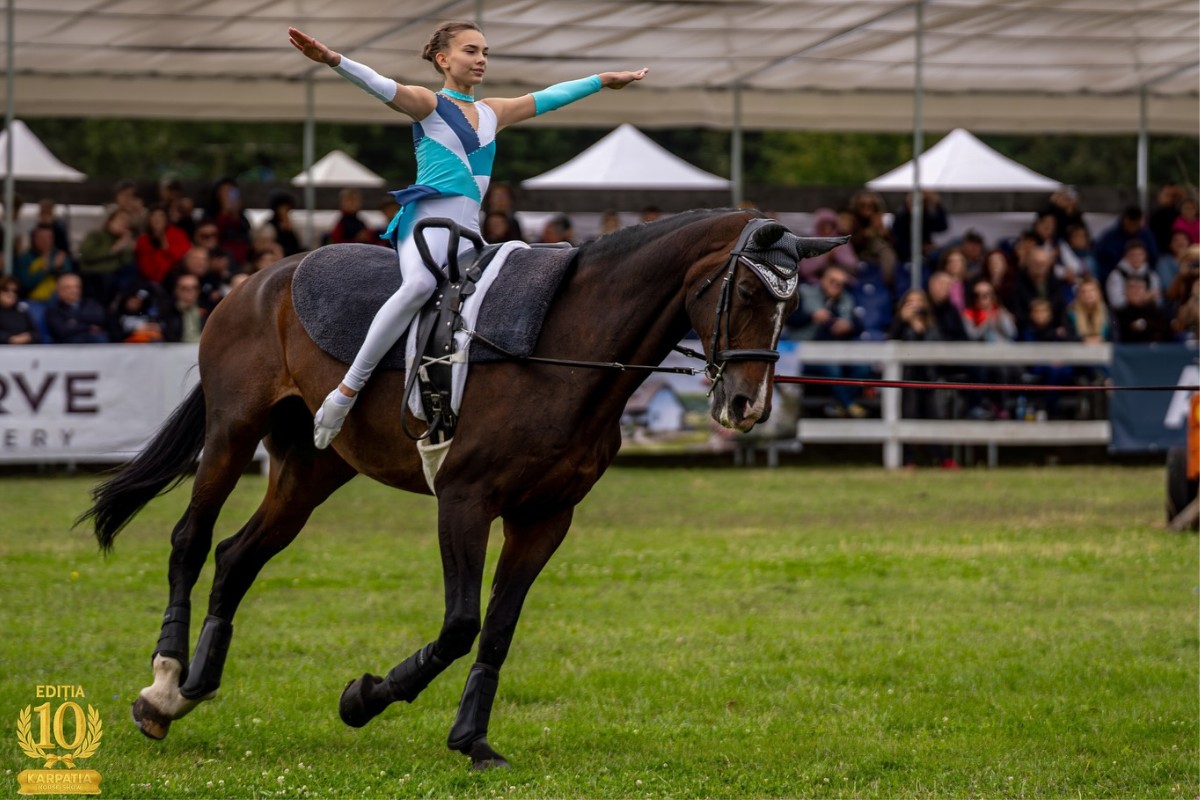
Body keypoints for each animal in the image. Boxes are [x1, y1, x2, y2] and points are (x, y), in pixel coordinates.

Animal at [81, 208, 842, 770]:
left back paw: (193, 687)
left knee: (238, 556)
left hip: (312, 468)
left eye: (791, 306)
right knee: (191, 539)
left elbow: (498, 629)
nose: (747, 405)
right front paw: (366, 697)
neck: (562, 347)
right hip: (233, 432)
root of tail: (257, 280)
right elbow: (460, 623)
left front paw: (471, 739)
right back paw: (163, 683)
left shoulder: (545, 516)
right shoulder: (464, 502)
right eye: (749, 293)